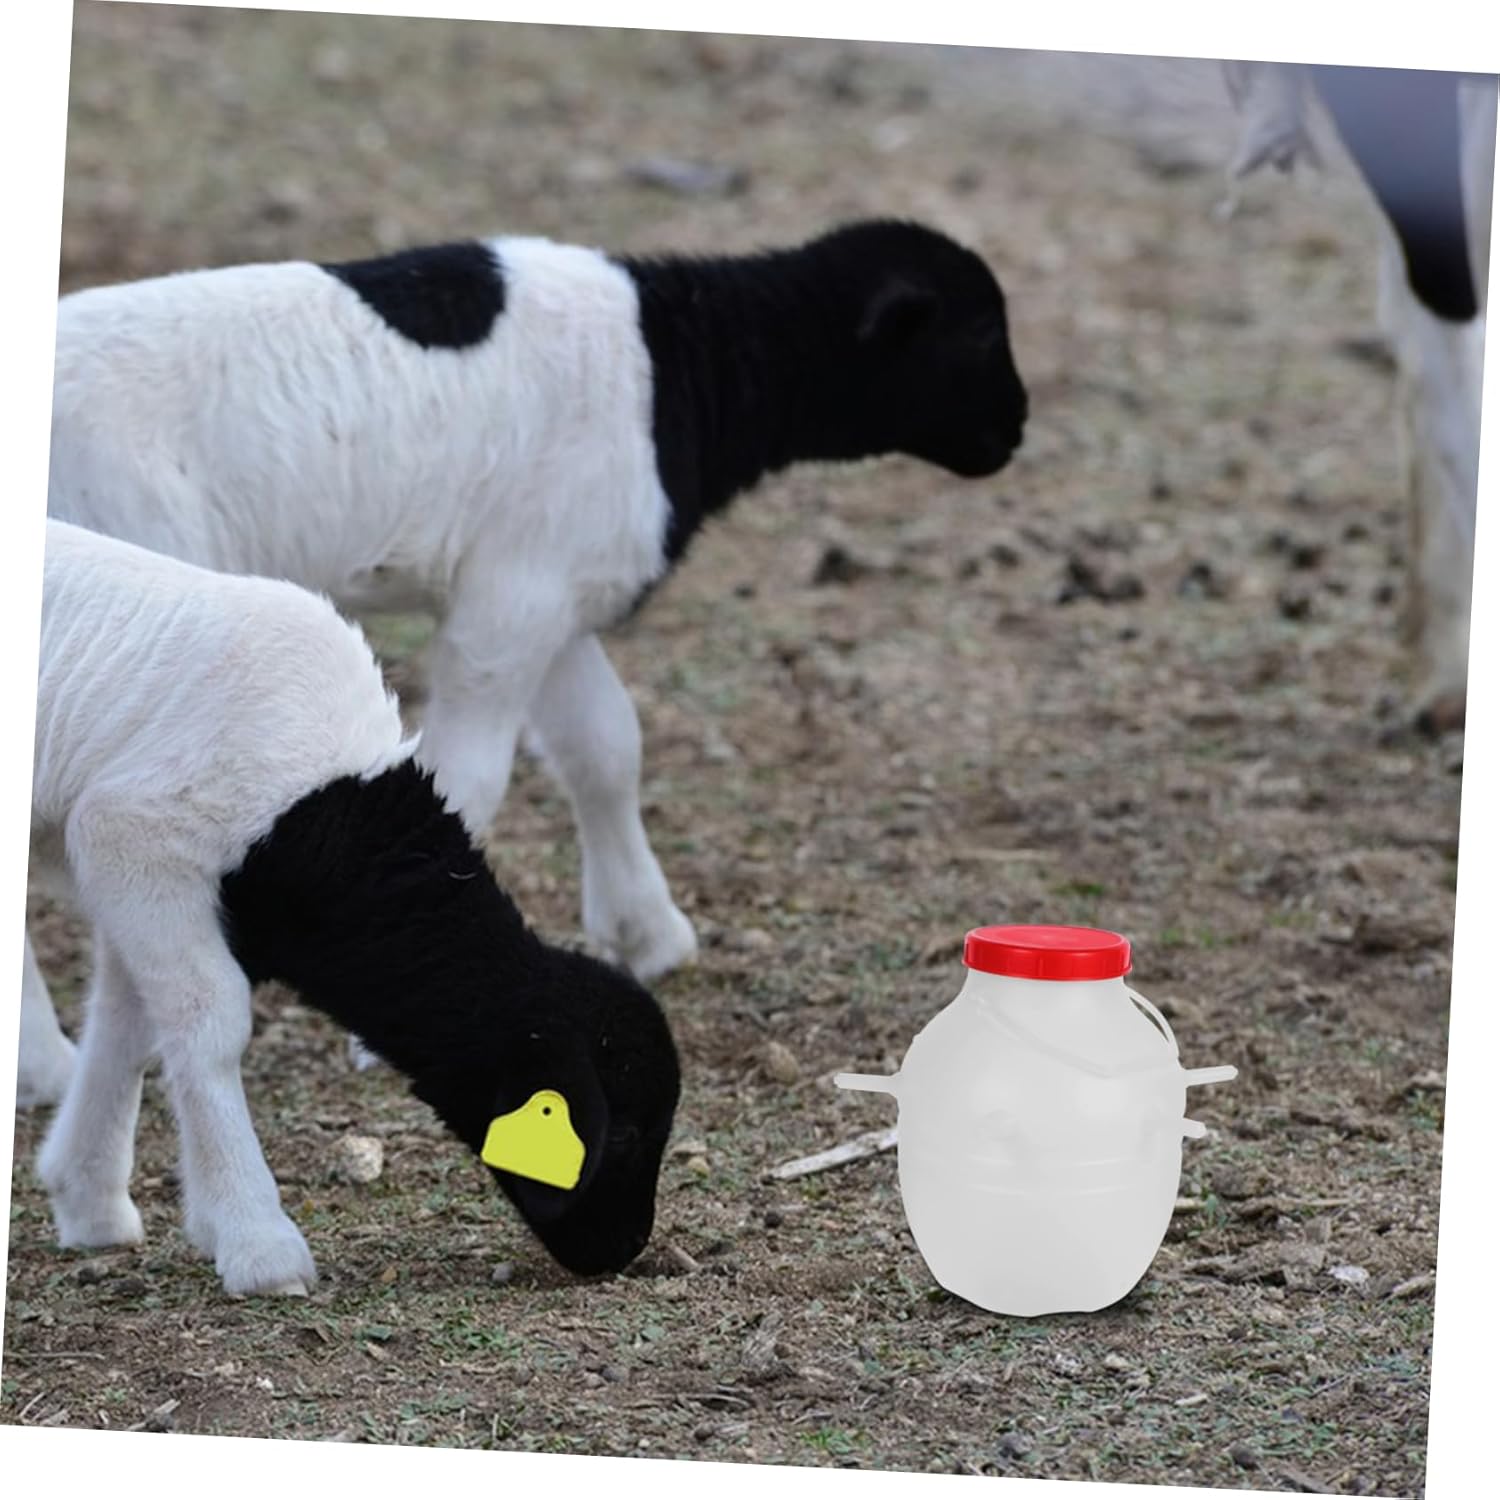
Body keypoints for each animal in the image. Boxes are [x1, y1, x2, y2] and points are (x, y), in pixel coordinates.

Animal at [24, 520, 681, 1294]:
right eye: (624, 1131)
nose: (624, 1249)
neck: (327, 814)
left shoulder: (140, 880)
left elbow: (129, 1028)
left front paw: (90, 1199)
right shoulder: (135, 843)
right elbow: (209, 1027)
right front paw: (258, 1243)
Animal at [48, 219, 1028, 985]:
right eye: (981, 335)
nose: (1018, 427)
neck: (679, 365)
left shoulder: (555, 590)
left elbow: (606, 748)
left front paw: (647, 934)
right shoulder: (508, 607)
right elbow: (469, 775)